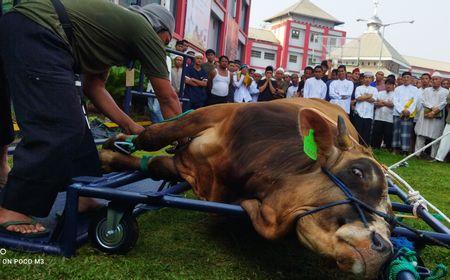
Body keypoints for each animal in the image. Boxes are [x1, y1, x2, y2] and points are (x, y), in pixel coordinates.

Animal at [100, 98, 392, 278]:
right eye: (358, 172)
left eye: (391, 218)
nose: (384, 250)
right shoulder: (213, 113)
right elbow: (152, 139)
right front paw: (112, 149)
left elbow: (156, 163)